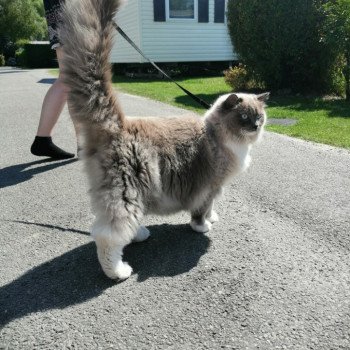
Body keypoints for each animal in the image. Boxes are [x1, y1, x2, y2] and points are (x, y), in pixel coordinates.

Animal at [58, 0, 270, 280]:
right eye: (244, 117)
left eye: (260, 117)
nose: (255, 127)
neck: (219, 134)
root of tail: (119, 123)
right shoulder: (210, 186)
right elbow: (201, 211)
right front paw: (203, 227)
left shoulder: (216, 188)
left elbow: (211, 208)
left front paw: (213, 218)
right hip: (127, 193)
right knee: (107, 236)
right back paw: (118, 271)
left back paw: (140, 235)